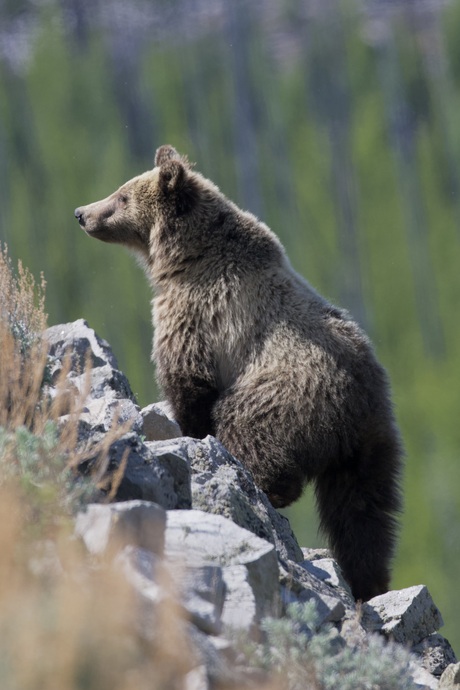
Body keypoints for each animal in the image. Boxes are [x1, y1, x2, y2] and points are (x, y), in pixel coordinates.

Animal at [74, 144, 403, 601]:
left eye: (122, 197)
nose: (81, 212)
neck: (184, 257)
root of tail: (355, 411)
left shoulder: (198, 311)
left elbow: (188, 380)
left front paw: (186, 430)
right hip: (372, 450)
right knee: (364, 514)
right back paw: (369, 582)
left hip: (282, 397)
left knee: (250, 430)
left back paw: (267, 488)